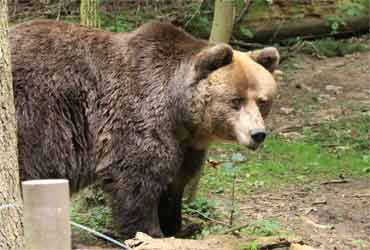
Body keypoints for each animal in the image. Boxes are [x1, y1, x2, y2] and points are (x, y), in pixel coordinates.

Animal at [10, 20, 278, 238]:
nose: (257, 134)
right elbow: (137, 180)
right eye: (236, 100)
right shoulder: (138, 118)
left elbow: (175, 183)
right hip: (35, 115)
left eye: (262, 101)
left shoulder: (187, 146)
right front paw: (150, 232)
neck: (182, 116)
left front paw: (178, 226)